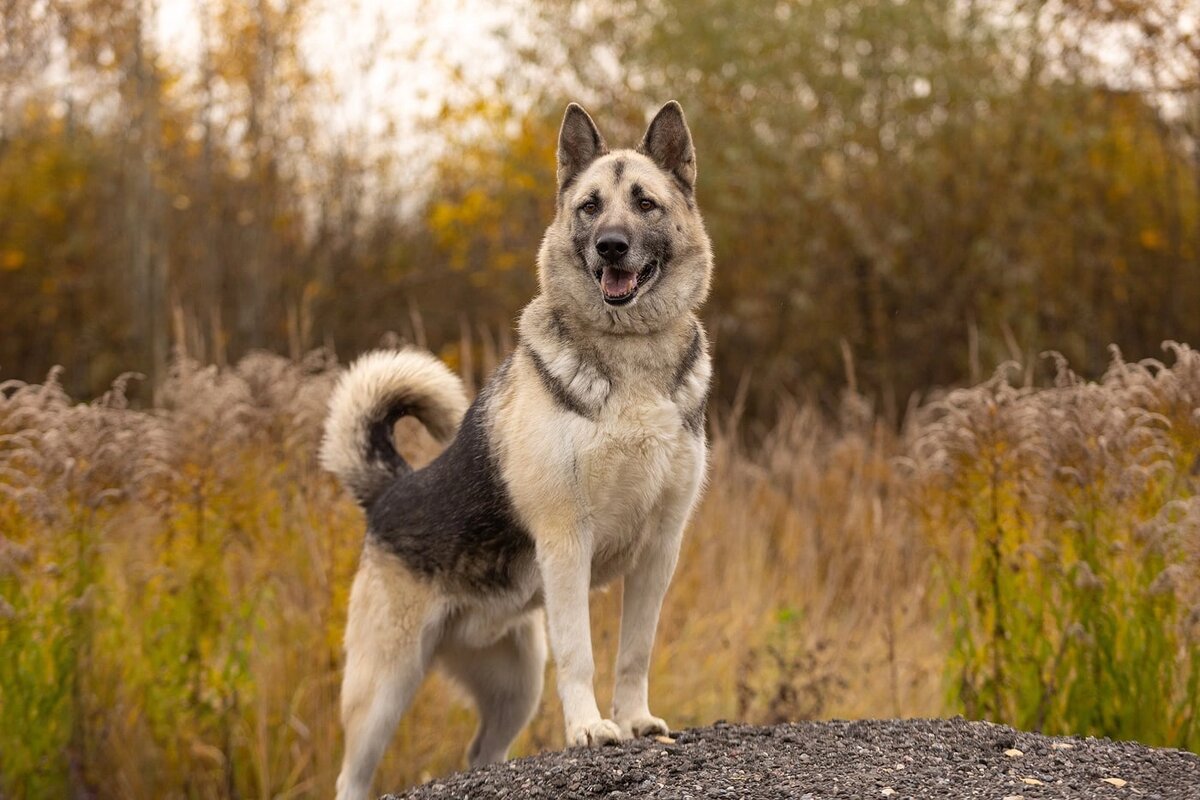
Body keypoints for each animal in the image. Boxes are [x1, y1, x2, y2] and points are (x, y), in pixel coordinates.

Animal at [321, 101, 710, 800]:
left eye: (644, 203)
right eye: (589, 207)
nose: (611, 245)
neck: (630, 355)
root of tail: (391, 490)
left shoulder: (660, 549)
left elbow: (633, 652)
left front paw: (633, 720)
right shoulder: (566, 543)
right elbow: (582, 654)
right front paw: (590, 729)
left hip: (516, 684)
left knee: (483, 753)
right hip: (382, 694)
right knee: (351, 777)